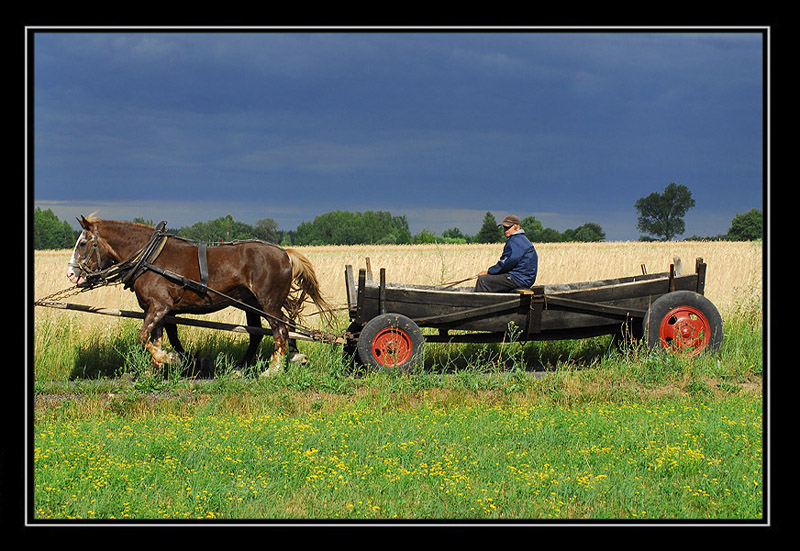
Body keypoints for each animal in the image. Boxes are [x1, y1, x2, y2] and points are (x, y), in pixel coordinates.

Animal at [65, 215, 334, 376]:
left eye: (83, 244)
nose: (71, 273)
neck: (149, 258)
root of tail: (285, 253)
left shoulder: (160, 306)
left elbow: (144, 337)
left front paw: (171, 360)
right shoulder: (159, 310)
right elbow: (160, 338)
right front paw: (160, 367)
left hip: (268, 302)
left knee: (280, 329)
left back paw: (274, 369)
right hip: (254, 303)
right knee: (268, 330)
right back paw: (259, 363)